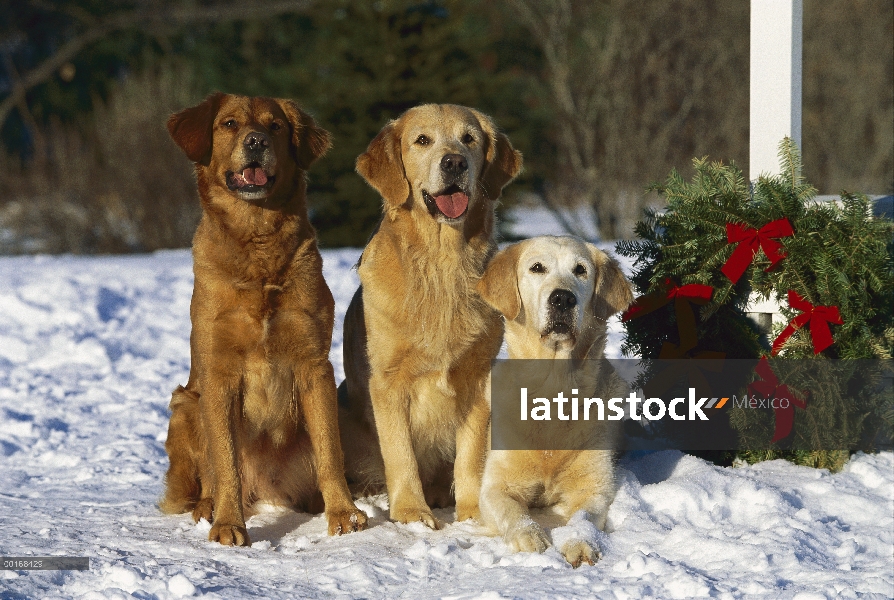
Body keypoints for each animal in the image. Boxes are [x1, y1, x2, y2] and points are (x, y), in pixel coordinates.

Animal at [160, 91, 368, 548]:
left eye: (275, 126)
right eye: (230, 123)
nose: (256, 141)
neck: (258, 242)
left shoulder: (314, 365)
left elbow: (330, 452)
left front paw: (343, 515)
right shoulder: (218, 371)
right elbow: (225, 461)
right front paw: (228, 524)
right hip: (185, 403)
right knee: (207, 476)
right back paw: (207, 507)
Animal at [342, 105, 524, 528]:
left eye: (469, 139)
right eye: (422, 140)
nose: (454, 162)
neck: (441, 264)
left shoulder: (478, 379)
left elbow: (471, 455)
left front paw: (472, 512)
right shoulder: (388, 382)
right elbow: (400, 454)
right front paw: (411, 512)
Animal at [480, 236, 632, 568]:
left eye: (581, 270)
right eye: (537, 268)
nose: (562, 298)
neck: (553, 390)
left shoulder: (593, 488)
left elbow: (583, 519)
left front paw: (580, 543)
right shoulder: (495, 486)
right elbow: (513, 512)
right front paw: (530, 537)